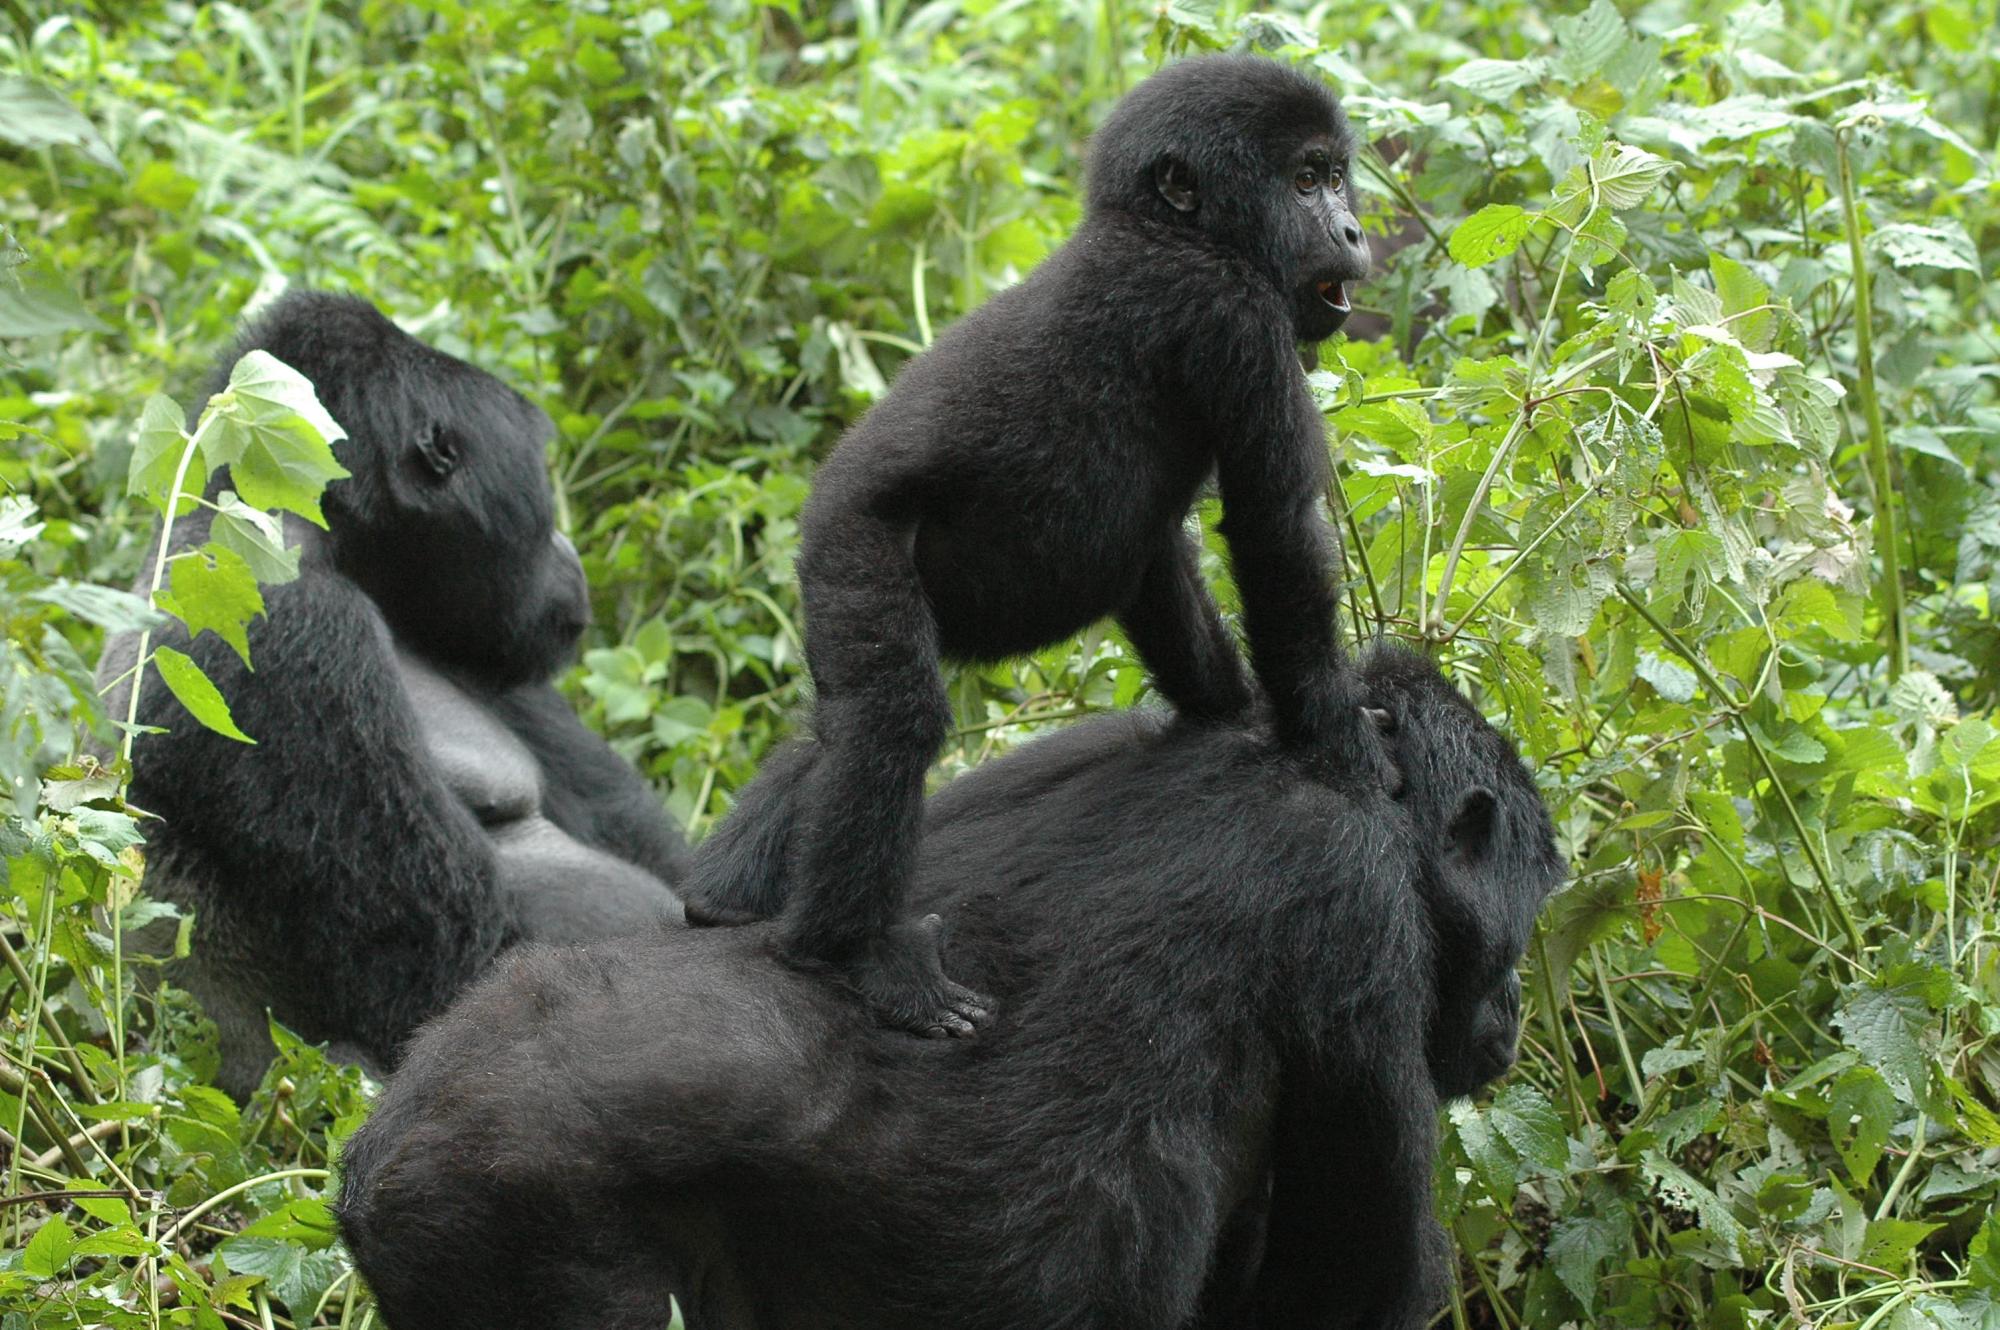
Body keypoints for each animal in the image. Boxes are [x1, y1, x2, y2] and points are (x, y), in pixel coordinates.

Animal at [340, 644, 1560, 1328]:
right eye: (1527, 913)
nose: (1508, 1016)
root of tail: (373, 1153)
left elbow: (735, 885)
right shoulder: (1359, 909)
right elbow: (1353, 1282)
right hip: (497, 1219)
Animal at [688, 54, 1376, 1040]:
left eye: (1336, 177)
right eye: (1306, 181)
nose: (1354, 229)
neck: (1161, 226)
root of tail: (817, 509)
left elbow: (1158, 567)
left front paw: (1229, 708)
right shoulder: (1230, 312)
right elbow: (1274, 532)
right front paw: (1336, 742)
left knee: (837, 725)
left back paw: (722, 894)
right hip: (856, 542)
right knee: (891, 720)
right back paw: (847, 953)